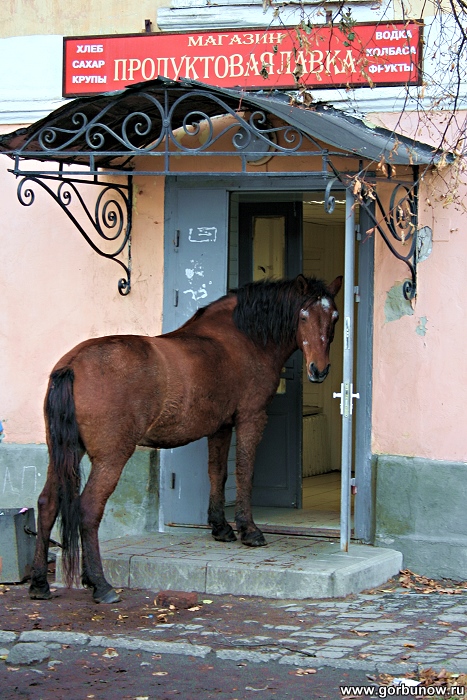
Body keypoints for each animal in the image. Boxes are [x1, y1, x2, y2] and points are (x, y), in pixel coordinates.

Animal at [29, 274, 342, 604]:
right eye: (304, 315)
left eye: (334, 317)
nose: (319, 370)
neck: (242, 338)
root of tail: (72, 365)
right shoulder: (251, 418)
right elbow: (244, 472)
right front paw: (249, 530)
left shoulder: (220, 426)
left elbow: (218, 472)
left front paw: (221, 527)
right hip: (111, 457)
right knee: (88, 508)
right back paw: (100, 584)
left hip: (63, 453)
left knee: (47, 503)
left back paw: (40, 583)